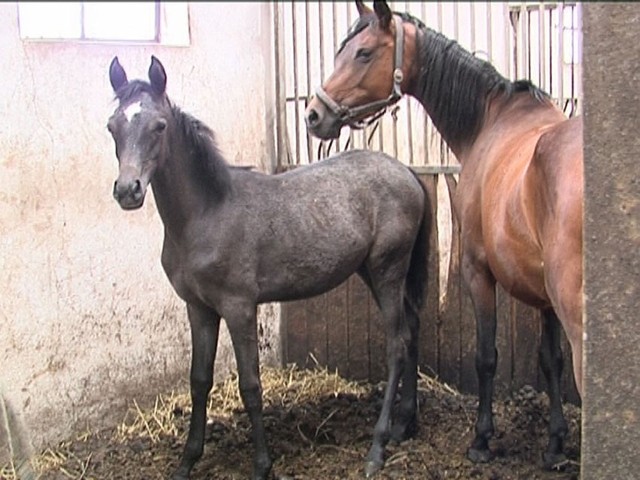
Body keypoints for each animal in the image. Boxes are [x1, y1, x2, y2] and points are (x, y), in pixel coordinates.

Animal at [107, 54, 432, 478]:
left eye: (159, 126)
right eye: (112, 126)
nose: (128, 191)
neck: (206, 214)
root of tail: (407, 172)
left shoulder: (239, 307)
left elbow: (250, 385)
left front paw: (262, 465)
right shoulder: (199, 308)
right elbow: (199, 380)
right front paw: (188, 460)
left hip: (386, 271)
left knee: (398, 344)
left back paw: (377, 447)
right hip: (376, 272)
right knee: (412, 329)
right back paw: (405, 425)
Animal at [306, 0, 584, 470]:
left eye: (363, 53)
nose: (314, 114)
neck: (491, 121)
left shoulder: (477, 270)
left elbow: (486, 357)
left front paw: (481, 439)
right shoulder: (543, 294)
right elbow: (551, 360)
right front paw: (554, 444)